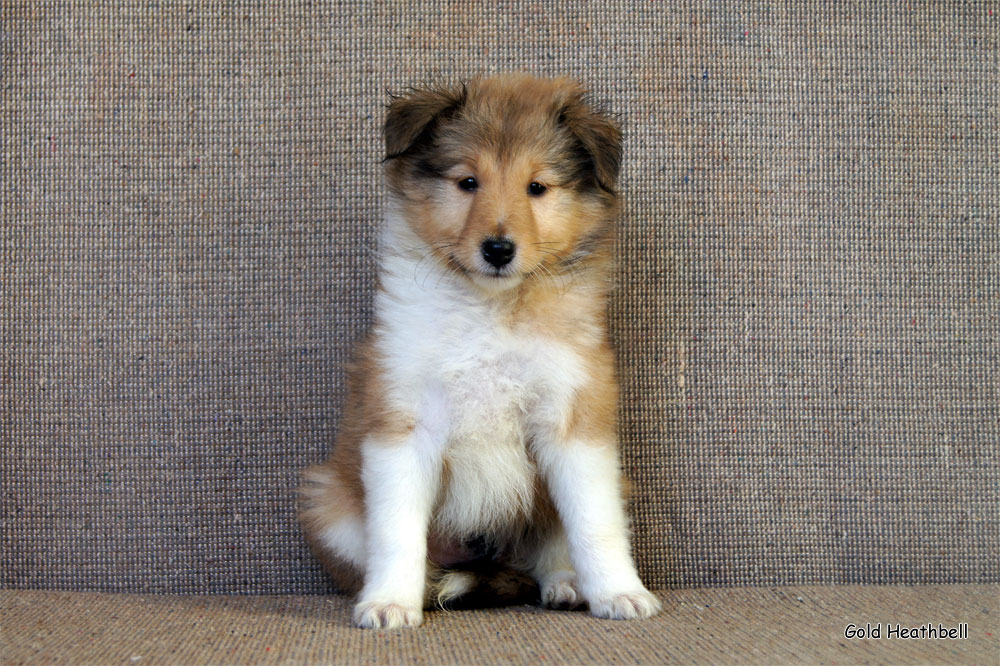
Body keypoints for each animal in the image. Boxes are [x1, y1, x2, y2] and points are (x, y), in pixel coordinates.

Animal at [300, 74, 660, 628]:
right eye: (467, 181)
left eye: (537, 187)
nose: (498, 249)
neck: (491, 309)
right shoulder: (405, 423)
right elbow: (397, 529)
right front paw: (389, 603)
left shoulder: (573, 420)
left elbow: (594, 523)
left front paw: (620, 592)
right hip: (329, 501)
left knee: (552, 548)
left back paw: (567, 585)